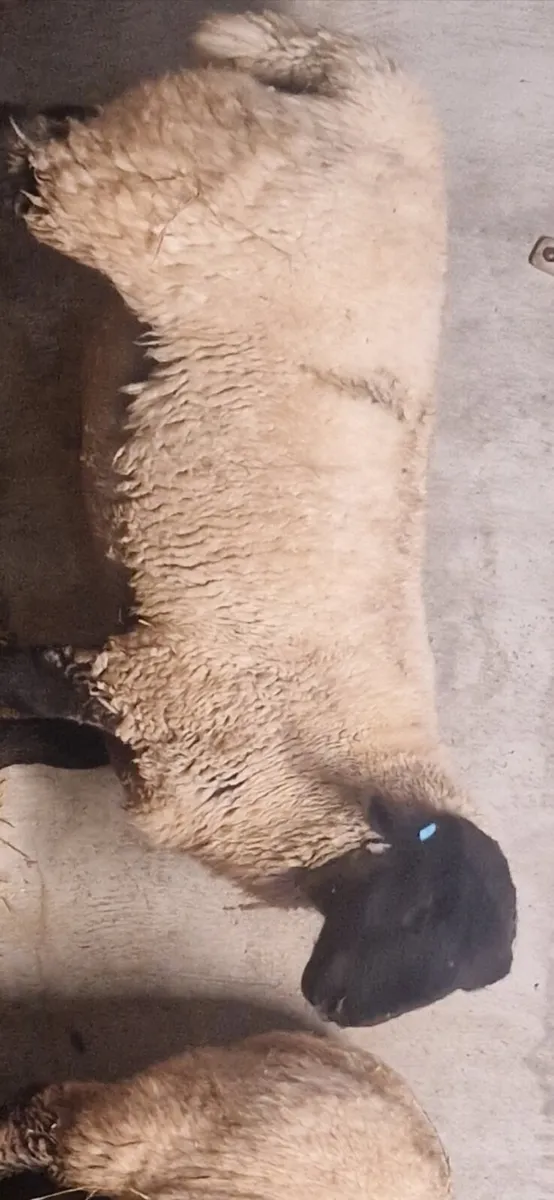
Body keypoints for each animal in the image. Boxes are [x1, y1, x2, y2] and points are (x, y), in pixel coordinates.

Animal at [4, 8, 517, 1027]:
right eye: (421, 912)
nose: (333, 1007)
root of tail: (373, 87)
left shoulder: (123, 712)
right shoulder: (144, 679)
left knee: (51, 127)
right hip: (147, 197)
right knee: (41, 163)